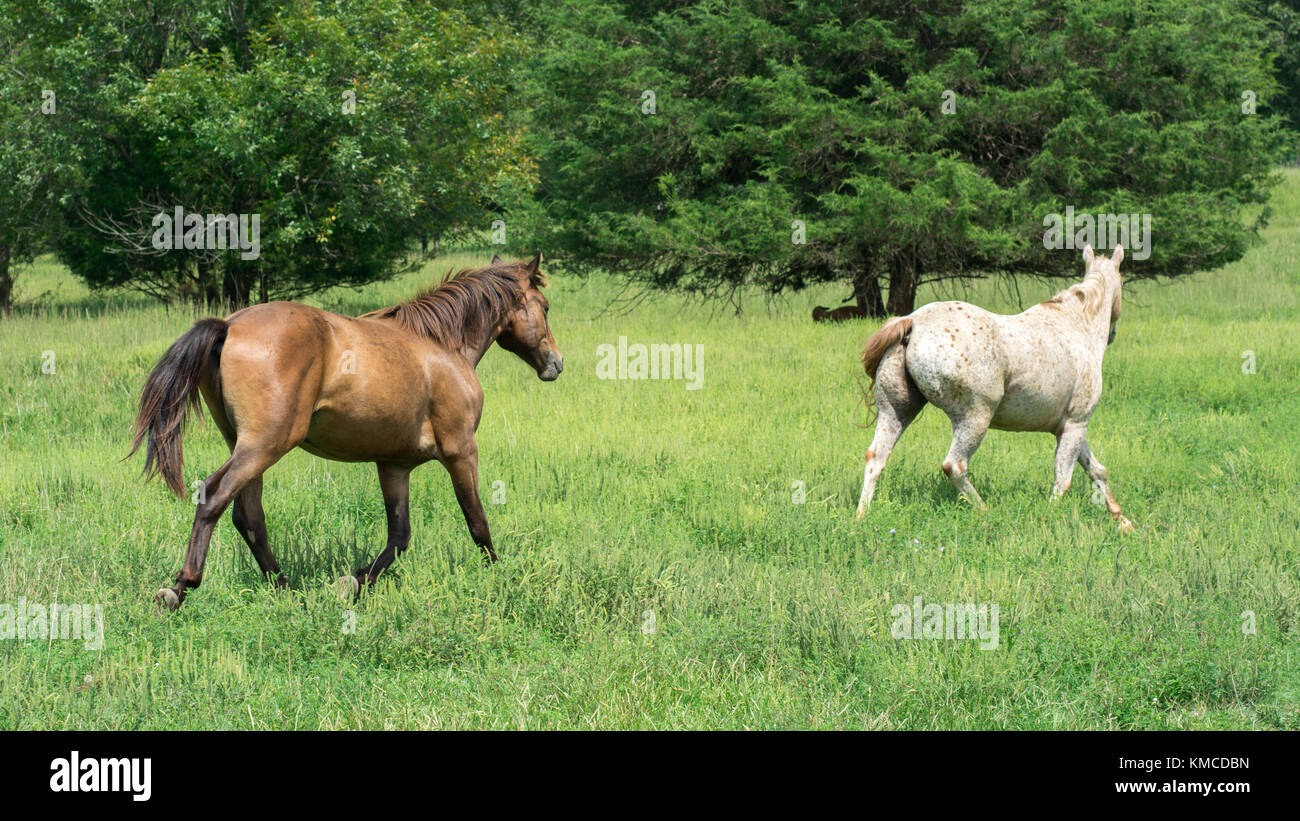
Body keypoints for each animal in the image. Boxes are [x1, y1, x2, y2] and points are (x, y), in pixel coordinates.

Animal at [129, 257, 561, 610]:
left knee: (248, 516)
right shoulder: (461, 451)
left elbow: (399, 536)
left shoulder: (394, 464)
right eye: (545, 306)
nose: (555, 364)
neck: (442, 346)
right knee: (214, 497)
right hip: (265, 444)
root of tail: (228, 326)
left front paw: (353, 584)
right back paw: (180, 588)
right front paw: (500, 578)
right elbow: (477, 521)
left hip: (247, 445)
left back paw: (286, 590)